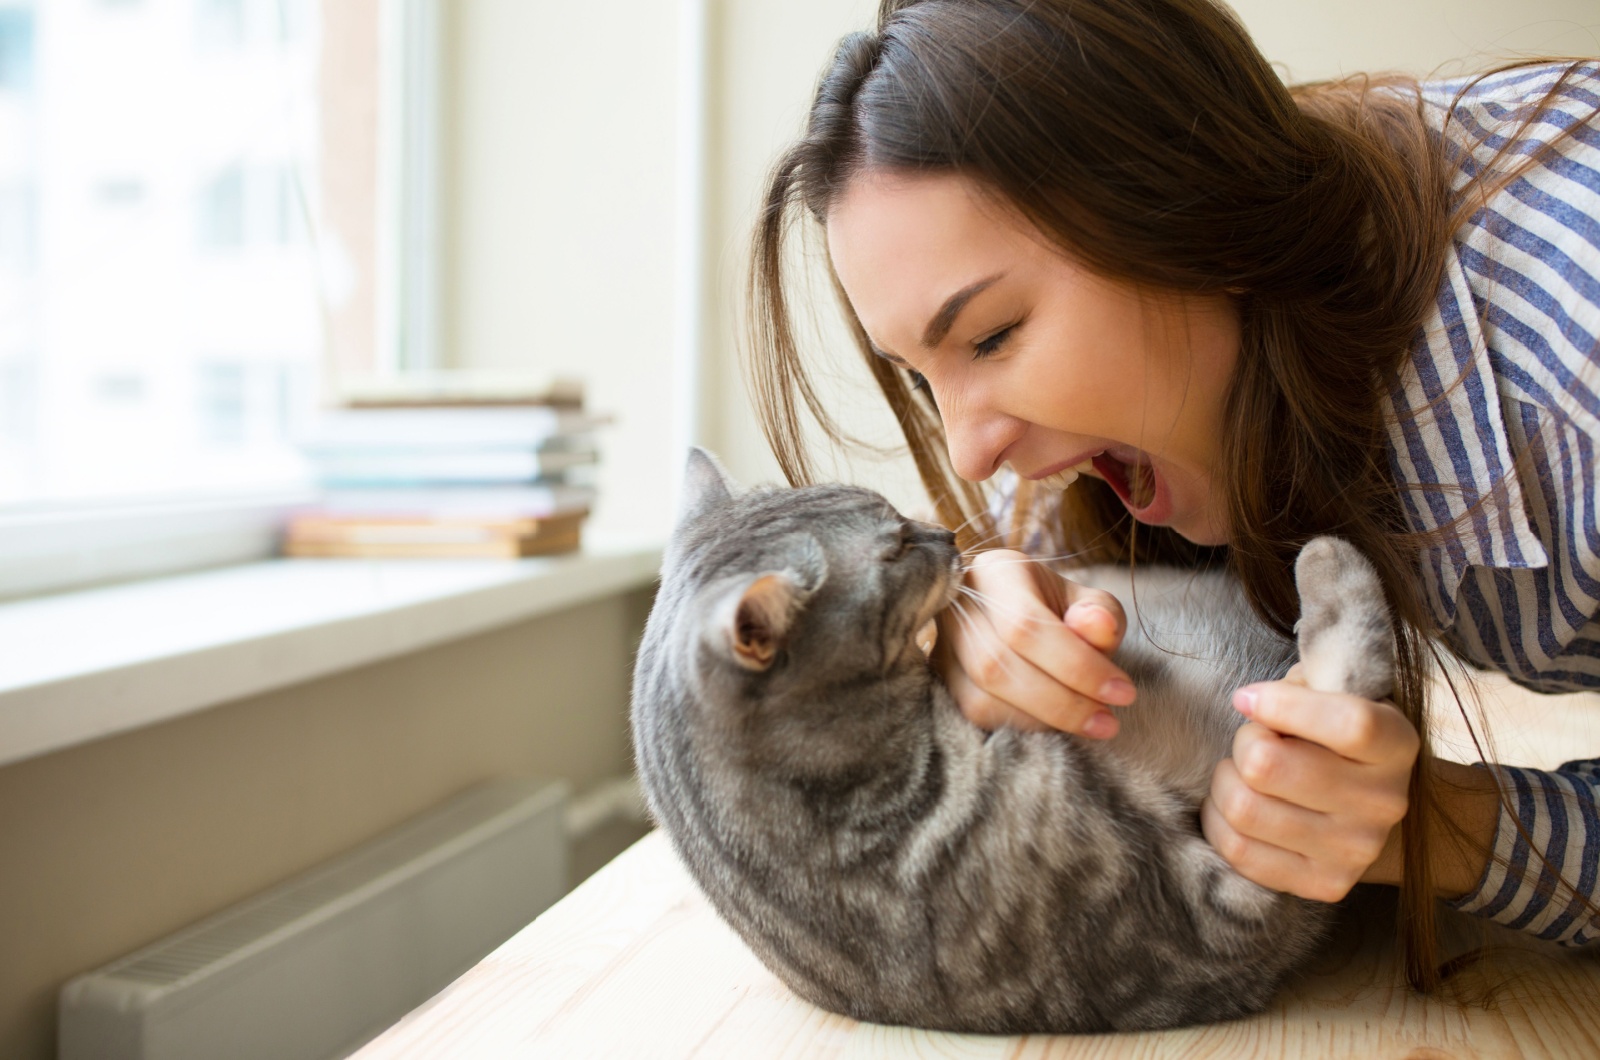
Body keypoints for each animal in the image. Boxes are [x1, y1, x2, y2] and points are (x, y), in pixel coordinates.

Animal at [630, 451, 1395, 1037]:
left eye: (895, 511)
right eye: (895, 547)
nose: (944, 531)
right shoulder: (1234, 908)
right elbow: (1350, 671)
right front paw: (1331, 558)